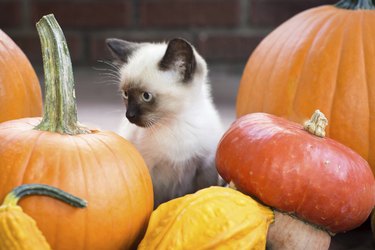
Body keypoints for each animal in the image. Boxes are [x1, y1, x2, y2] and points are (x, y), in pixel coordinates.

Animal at [105, 38, 223, 208]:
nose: (129, 115)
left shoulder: (205, 166)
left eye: (146, 96)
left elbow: (204, 191)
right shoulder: (150, 172)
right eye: (126, 94)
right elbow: (153, 205)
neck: (174, 124)